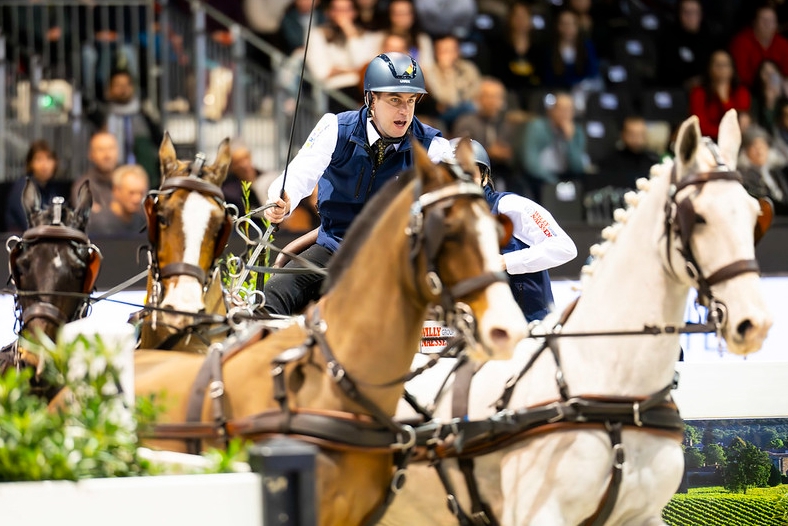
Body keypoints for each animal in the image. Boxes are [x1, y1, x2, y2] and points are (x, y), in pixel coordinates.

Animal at [384, 109, 776, 524]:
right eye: (696, 217)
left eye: (754, 214)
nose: (754, 322)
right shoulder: (539, 512)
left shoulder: (644, 513)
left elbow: (558, 244)